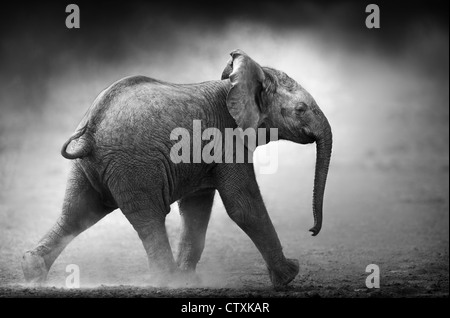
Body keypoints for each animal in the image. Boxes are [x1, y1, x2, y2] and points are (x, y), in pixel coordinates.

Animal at [22, 49, 330, 288]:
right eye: (301, 109)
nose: (312, 231)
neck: (238, 81)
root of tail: (91, 128)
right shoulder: (228, 138)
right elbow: (243, 205)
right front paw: (291, 275)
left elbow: (196, 208)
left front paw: (188, 280)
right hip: (135, 164)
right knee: (149, 217)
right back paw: (166, 280)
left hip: (90, 166)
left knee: (78, 213)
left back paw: (32, 272)